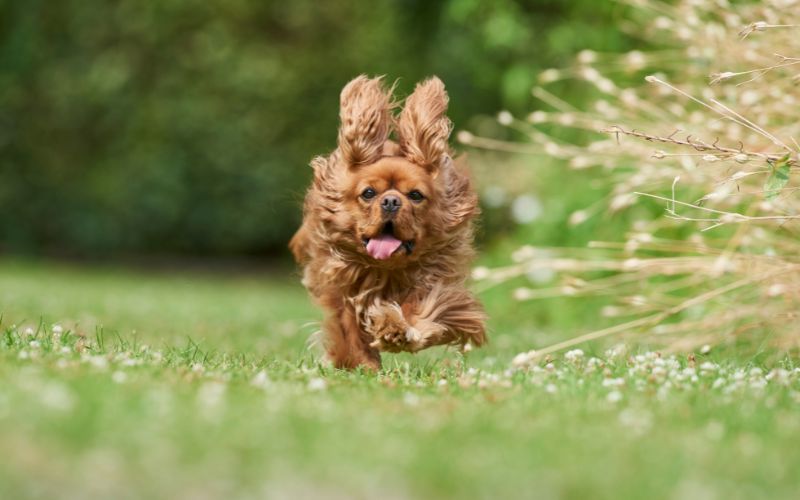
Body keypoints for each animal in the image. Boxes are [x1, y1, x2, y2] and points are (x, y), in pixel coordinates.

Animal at [290, 75, 484, 372]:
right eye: (369, 193)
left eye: (415, 195)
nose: (391, 201)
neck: (387, 270)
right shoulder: (340, 291)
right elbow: (348, 331)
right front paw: (363, 364)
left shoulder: (434, 286)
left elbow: (424, 313)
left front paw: (397, 330)